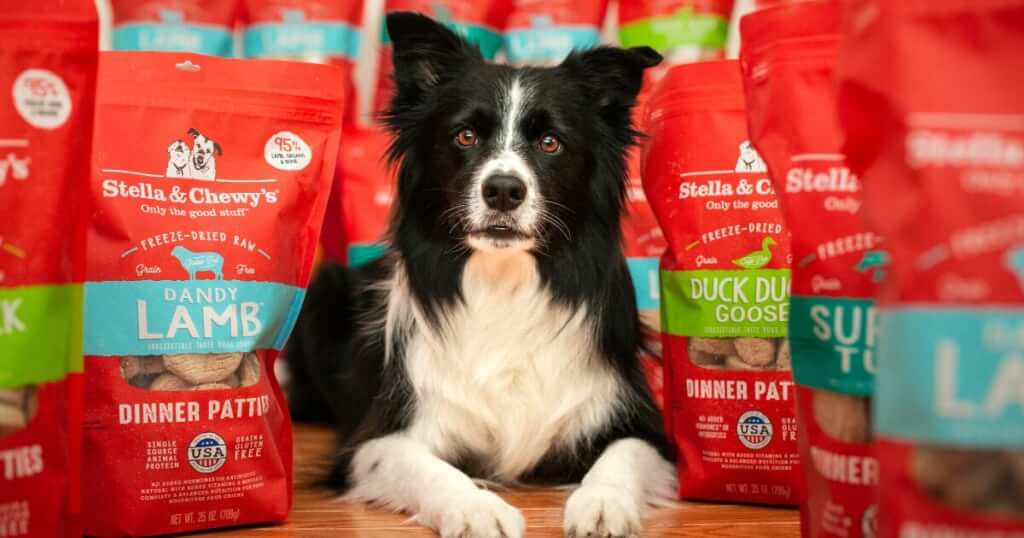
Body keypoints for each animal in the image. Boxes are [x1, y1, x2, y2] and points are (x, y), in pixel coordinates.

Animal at [286, 12, 671, 536]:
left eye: (550, 142)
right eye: (465, 136)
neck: (503, 282)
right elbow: (429, 469)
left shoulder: (640, 426)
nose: (504, 190)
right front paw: (476, 509)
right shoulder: (376, 440)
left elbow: (621, 457)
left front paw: (603, 504)